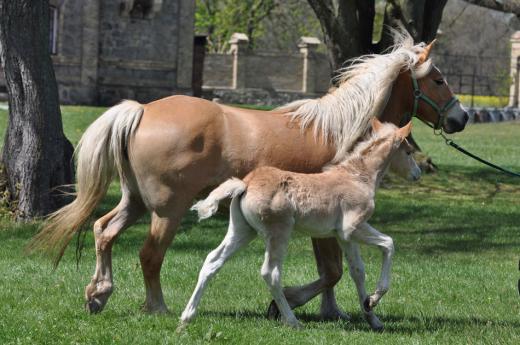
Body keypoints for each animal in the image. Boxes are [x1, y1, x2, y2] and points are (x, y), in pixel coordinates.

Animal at [183, 118, 414, 328]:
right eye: (409, 151)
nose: (416, 173)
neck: (358, 177)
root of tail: (245, 184)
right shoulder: (352, 228)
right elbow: (388, 243)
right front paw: (375, 298)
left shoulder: (343, 237)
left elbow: (358, 271)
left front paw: (372, 316)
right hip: (279, 233)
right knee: (270, 273)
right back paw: (292, 321)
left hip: (242, 231)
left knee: (213, 260)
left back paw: (187, 316)